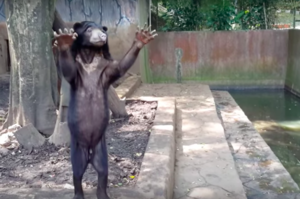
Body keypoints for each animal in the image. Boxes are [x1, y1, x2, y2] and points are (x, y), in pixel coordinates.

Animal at [52, 21, 157, 199]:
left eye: (102, 28)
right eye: (88, 29)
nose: (102, 35)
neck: (90, 58)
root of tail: (89, 154)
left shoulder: (105, 69)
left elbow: (119, 68)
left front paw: (142, 38)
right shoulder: (76, 73)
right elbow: (68, 71)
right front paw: (64, 40)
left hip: (100, 147)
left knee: (102, 170)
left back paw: (103, 194)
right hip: (78, 145)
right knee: (77, 171)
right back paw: (78, 194)